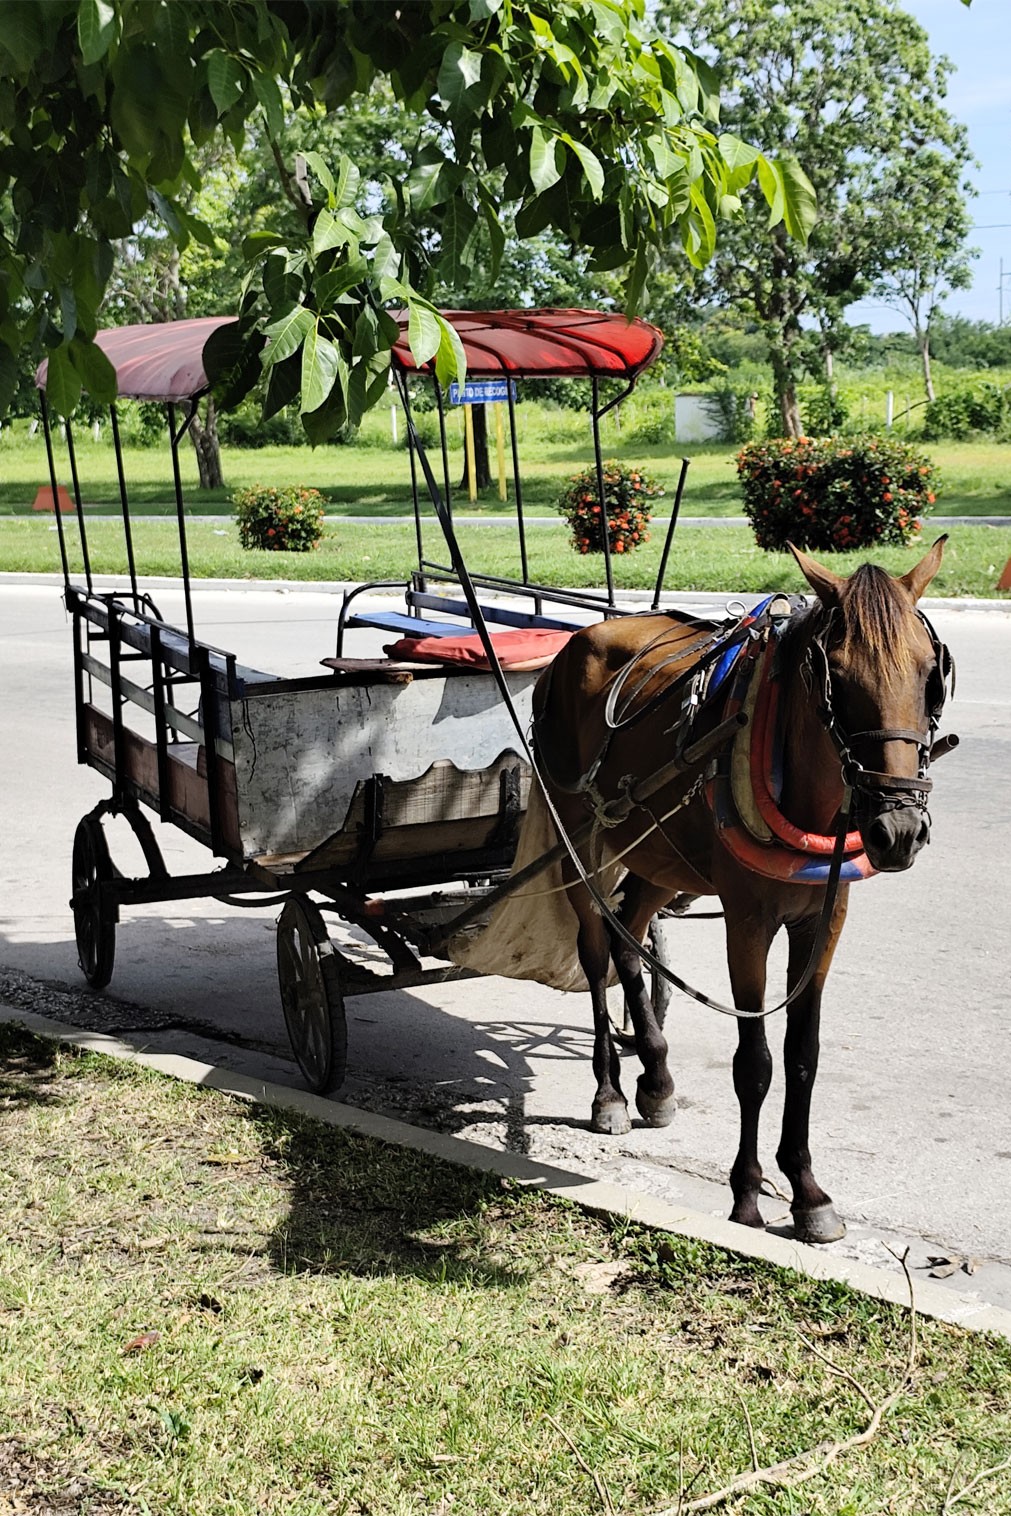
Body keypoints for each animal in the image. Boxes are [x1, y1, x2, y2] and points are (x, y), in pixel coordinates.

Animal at [530, 537, 953, 1244]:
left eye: (929, 675)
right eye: (837, 678)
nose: (897, 829)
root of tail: (579, 639)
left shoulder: (824, 920)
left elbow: (803, 1055)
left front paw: (807, 1189)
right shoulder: (747, 923)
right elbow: (754, 1063)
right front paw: (748, 1194)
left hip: (657, 853)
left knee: (630, 932)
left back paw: (656, 1075)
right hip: (578, 838)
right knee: (595, 947)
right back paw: (609, 1091)